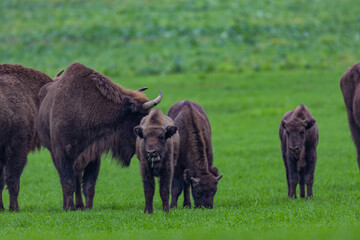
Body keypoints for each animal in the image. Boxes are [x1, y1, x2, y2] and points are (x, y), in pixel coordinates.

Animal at [37, 62, 161, 211]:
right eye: (140, 118)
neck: (82, 109)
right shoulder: (61, 153)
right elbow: (67, 182)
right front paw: (69, 208)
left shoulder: (93, 154)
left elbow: (89, 185)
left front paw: (88, 208)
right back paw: (69, 206)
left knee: (77, 178)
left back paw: (79, 205)